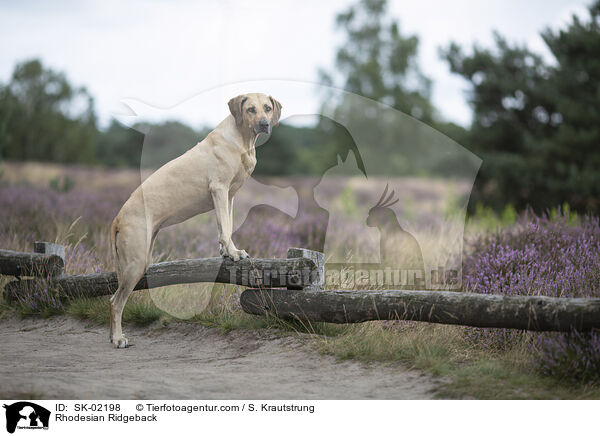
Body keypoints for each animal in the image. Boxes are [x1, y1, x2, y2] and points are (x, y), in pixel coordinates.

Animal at [109, 94, 282, 348]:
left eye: (268, 108)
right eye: (251, 109)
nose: (264, 124)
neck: (242, 139)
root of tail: (118, 217)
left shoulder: (228, 195)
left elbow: (225, 225)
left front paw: (226, 251)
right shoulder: (219, 188)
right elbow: (226, 227)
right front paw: (234, 253)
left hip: (139, 258)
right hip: (135, 263)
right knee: (116, 302)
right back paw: (118, 338)